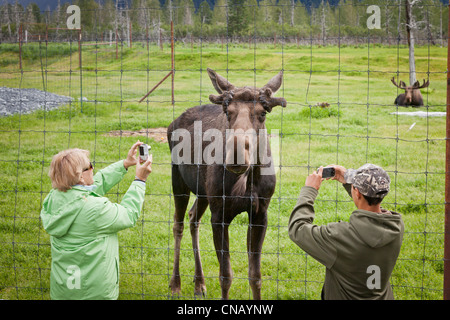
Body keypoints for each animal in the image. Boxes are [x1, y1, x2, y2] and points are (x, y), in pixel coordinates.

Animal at [167, 67, 286, 300]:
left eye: (263, 112)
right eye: (227, 111)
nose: (237, 155)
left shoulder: (260, 213)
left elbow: (255, 276)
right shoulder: (219, 215)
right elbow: (226, 275)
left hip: (203, 192)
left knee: (193, 218)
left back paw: (199, 283)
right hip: (178, 180)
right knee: (178, 224)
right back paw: (176, 283)